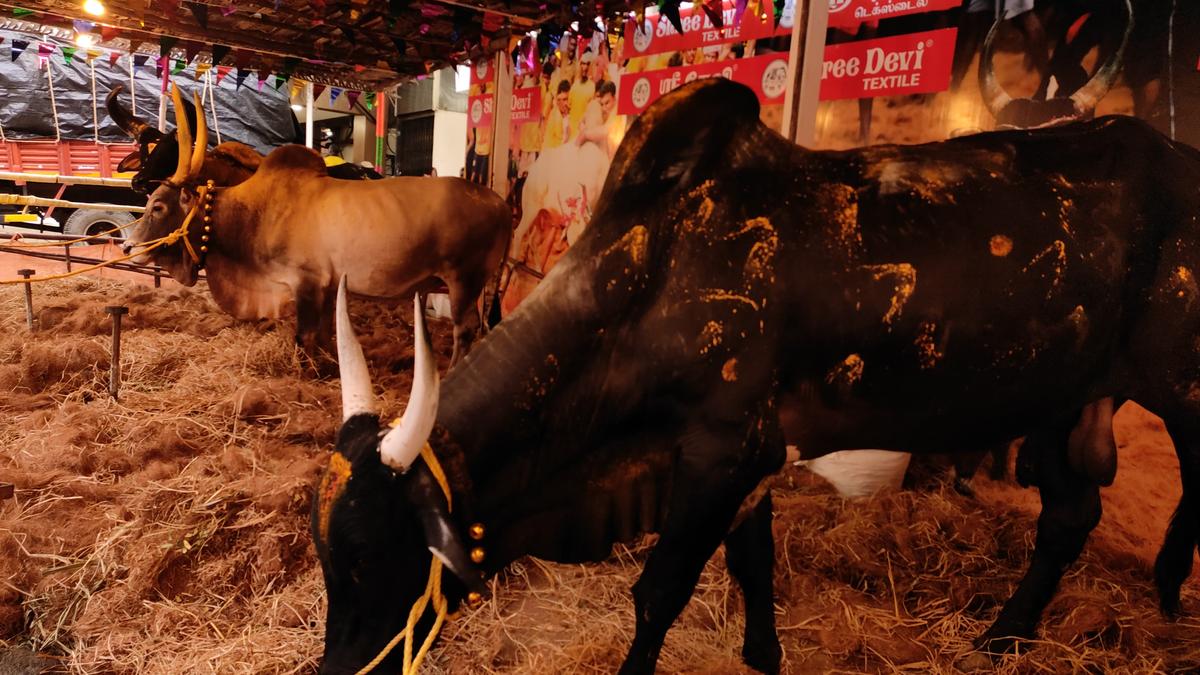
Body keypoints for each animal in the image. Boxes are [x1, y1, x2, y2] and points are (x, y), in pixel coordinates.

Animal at [124, 89, 508, 365]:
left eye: (158, 206)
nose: (128, 247)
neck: (254, 212)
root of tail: (500, 203)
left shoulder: (306, 281)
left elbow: (304, 337)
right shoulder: (328, 286)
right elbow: (325, 336)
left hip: (465, 280)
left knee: (466, 329)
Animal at [312, 79, 1200, 672]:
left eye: (366, 555)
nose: (336, 669)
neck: (649, 277)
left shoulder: (720, 450)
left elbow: (659, 591)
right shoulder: (752, 455)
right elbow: (755, 563)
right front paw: (766, 654)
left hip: (1182, 394)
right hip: (1069, 396)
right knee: (1070, 514)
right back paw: (1004, 634)